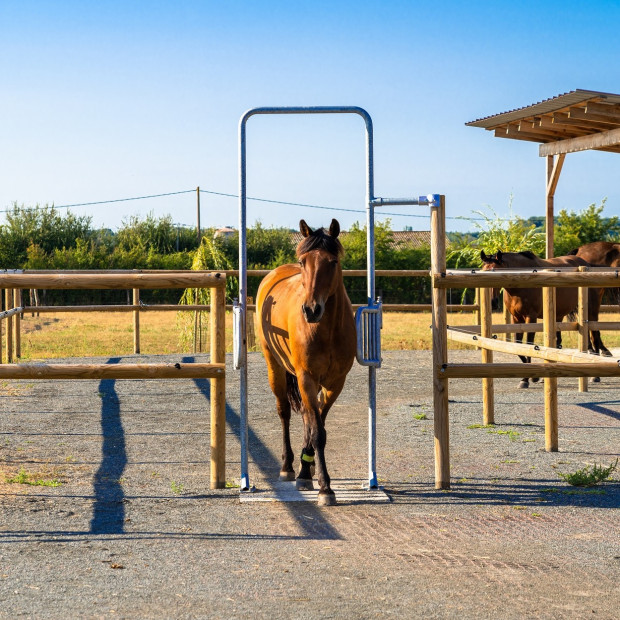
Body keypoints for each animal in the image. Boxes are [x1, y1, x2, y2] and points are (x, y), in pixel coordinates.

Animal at [256, 218, 356, 504]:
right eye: (303, 262)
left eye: (333, 261)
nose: (311, 310)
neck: (326, 329)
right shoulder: (306, 378)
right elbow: (317, 431)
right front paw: (324, 487)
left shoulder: (335, 383)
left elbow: (318, 424)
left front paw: (309, 468)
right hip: (275, 368)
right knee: (285, 412)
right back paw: (288, 466)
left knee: (306, 417)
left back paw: (304, 467)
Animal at [480, 251, 604, 388]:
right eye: (482, 271)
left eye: (496, 271)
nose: (492, 303)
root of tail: (586, 264)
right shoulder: (516, 318)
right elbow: (518, 346)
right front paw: (530, 377)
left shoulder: (531, 317)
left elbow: (529, 344)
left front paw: (528, 378)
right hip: (559, 315)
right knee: (559, 342)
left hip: (591, 311)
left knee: (595, 336)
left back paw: (596, 375)